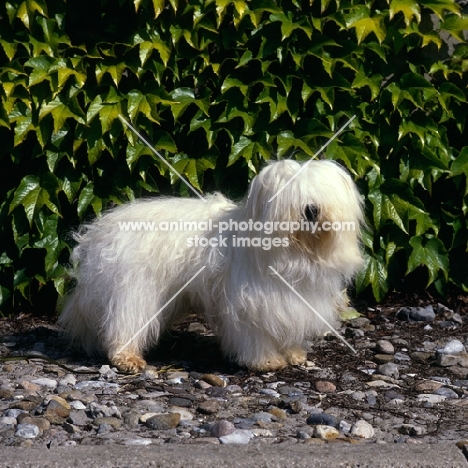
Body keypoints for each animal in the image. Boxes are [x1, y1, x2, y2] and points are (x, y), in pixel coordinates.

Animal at [58, 161, 364, 372]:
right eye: (292, 199)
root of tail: (101, 229)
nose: (311, 210)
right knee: (124, 322)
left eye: (321, 194)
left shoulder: (289, 303)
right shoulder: (249, 303)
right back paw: (127, 357)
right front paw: (265, 361)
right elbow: (254, 336)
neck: (294, 254)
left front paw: (292, 353)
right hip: (134, 289)